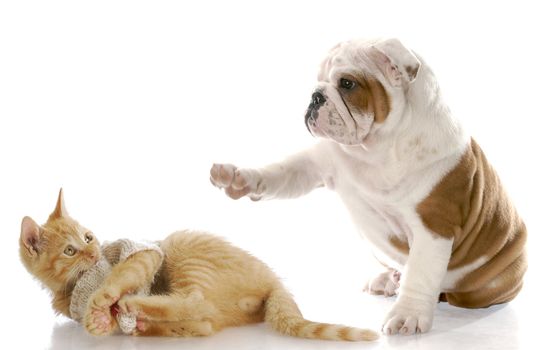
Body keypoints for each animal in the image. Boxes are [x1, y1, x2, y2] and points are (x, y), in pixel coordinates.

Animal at [19, 190, 378, 340]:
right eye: (70, 250)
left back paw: (134, 305)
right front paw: (100, 321)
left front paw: (103, 299)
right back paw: (146, 322)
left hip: (182, 247)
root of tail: (274, 281)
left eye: (89, 237)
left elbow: (122, 274)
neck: (71, 287)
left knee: (195, 301)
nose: (93, 254)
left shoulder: (142, 250)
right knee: (203, 320)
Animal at [210, 39, 528, 336]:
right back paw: (388, 279)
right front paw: (239, 178)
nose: (315, 96)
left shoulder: (433, 227)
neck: (376, 149)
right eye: (319, 80)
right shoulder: (317, 163)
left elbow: (421, 273)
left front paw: (408, 314)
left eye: (347, 84)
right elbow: (282, 172)